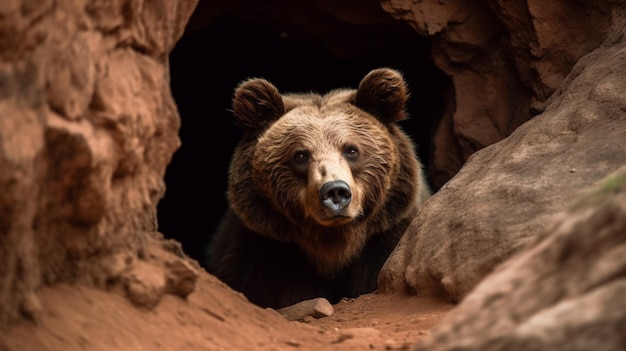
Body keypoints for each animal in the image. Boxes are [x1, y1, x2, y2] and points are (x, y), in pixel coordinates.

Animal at [207, 67, 426, 310]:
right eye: (301, 155)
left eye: (351, 150)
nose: (335, 191)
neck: (332, 247)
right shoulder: (262, 252)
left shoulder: (387, 238)